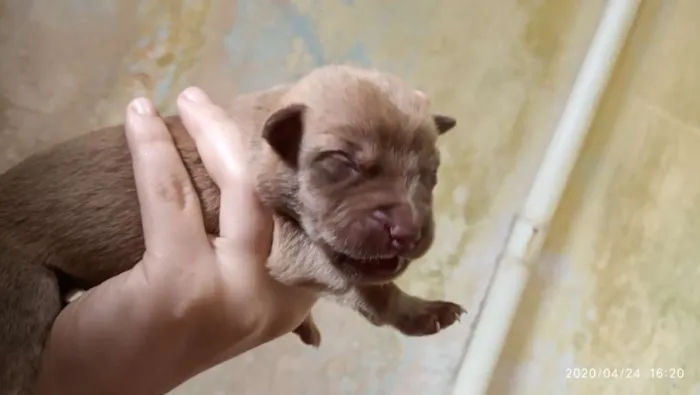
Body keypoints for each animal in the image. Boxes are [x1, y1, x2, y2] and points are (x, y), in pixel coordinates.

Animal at [0, 66, 464, 394]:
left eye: (432, 175)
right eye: (341, 163)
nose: (407, 232)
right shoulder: (290, 244)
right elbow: (368, 287)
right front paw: (418, 310)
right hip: (23, 291)